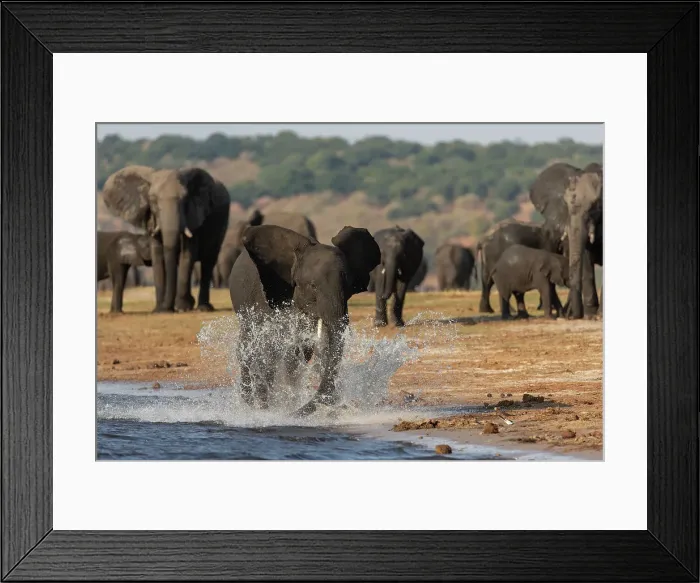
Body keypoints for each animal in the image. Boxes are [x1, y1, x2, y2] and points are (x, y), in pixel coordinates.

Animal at [102, 166, 230, 312]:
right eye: (153, 200)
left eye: (185, 200)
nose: (168, 308)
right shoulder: (151, 220)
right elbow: (157, 255)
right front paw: (159, 310)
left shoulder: (193, 216)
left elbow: (187, 254)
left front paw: (182, 308)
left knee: (208, 262)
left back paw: (202, 308)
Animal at [229, 224, 380, 416]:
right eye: (313, 286)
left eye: (347, 286)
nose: (291, 414)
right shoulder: (271, 298)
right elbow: (279, 351)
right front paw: (277, 408)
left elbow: (320, 349)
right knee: (249, 348)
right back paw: (253, 405)